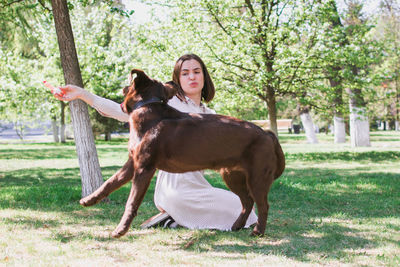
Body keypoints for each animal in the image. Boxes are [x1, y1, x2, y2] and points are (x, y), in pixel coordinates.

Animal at [79, 69, 284, 239]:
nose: (123, 86)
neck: (148, 108)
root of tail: (267, 134)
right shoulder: (132, 163)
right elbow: (110, 182)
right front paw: (89, 199)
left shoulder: (144, 167)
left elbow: (131, 202)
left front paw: (120, 230)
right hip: (232, 175)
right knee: (247, 202)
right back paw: (237, 226)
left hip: (257, 177)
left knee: (262, 205)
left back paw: (258, 232)